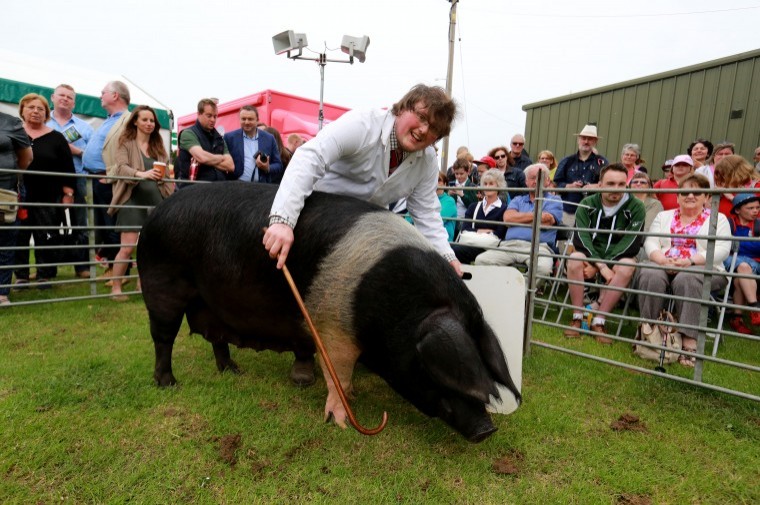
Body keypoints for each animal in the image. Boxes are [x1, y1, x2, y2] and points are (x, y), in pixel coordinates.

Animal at [137, 181, 520, 440]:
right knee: (162, 337)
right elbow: (339, 374)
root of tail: (155, 214)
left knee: (217, 337)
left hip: (209, 301)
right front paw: (340, 419)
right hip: (160, 285)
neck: (391, 303)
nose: (486, 429)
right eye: (431, 369)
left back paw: (233, 371)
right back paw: (168, 384)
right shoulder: (332, 326)